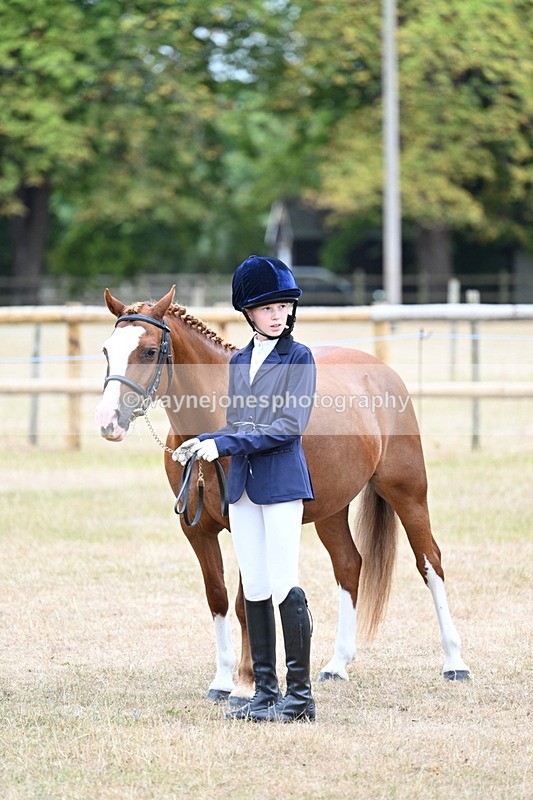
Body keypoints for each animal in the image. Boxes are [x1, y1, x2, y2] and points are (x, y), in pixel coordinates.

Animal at [95, 286, 470, 703]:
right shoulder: (197, 531)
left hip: (407, 493)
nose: (108, 422)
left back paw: (455, 663)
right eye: (107, 350)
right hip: (331, 509)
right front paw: (221, 681)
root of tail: (381, 371)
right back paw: (337, 665)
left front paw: (245, 684)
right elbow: (217, 598)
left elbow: (245, 603)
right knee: (349, 565)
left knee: (430, 562)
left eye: (148, 351)